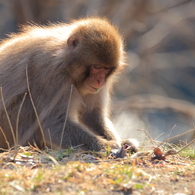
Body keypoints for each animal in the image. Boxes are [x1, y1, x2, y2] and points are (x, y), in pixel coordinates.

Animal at [0, 17, 139, 151]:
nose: (100, 81)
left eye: (106, 69)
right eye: (97, 67)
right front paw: (109, 146)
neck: (66, 60)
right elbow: (55, 122)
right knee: (26, 101)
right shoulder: (50, 72)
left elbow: (91, 115)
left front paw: (123, 142)